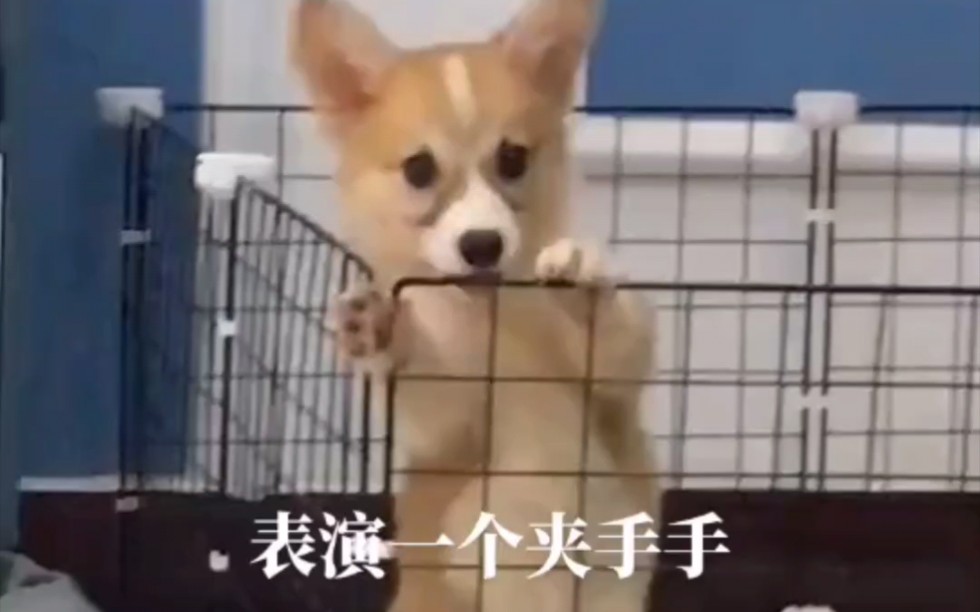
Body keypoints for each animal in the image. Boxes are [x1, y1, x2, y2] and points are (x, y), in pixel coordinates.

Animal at [291, 1, 661, 610]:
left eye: (512, 158)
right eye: (418, 169)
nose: (482, 244)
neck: (494, 320)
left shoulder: (614, 398)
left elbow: (614, 340)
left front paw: (581, 280)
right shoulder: (453, 429)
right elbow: (428, 388)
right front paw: (379, 331)